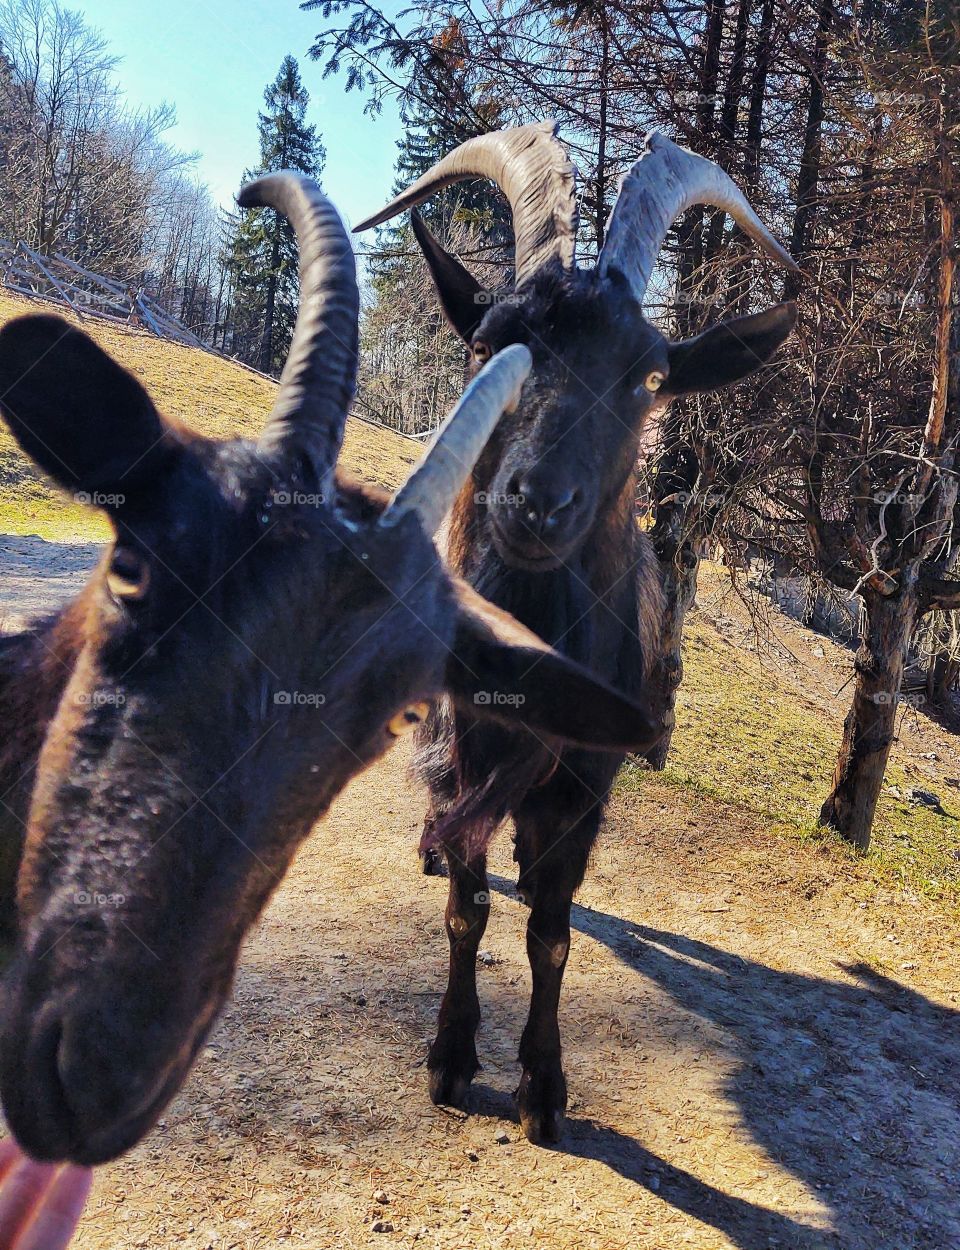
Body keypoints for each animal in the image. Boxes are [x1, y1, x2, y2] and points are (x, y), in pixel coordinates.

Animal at [356, 122, 798, 1143]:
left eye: (651, 376)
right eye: (486, 343)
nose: (537, 500)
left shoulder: (587, 788)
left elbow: (550, 935)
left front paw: (543, 1089)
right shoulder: (464, 752)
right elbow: (469, 912)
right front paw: (451, 1058)